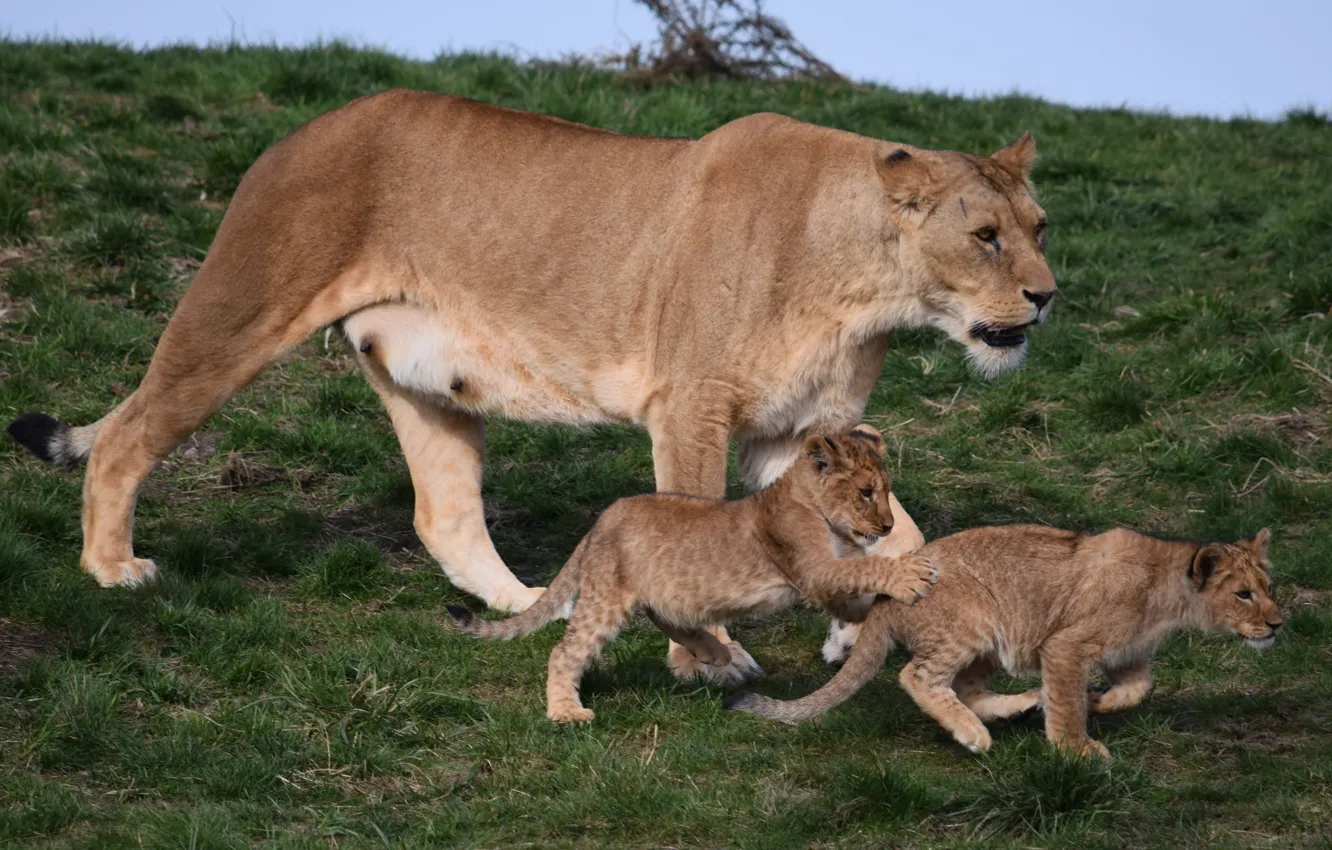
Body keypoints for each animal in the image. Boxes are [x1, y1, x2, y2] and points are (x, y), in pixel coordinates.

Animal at [6, 90, 1054, 681]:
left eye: (1040, 226)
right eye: (986, 236)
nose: (1046, 298)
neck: (864, 289)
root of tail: (302, 128)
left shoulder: (804, 433)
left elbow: (902, 532)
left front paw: (860, 624)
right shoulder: (692, 405)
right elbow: (688, 528)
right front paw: (702, 662)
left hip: (425, 380)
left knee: (445, 516)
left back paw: (527, 601)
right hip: (240, 308)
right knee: (131, 431)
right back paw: (112, 569)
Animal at [448, 425, 937, 722]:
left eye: (886, 492)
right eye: (866, 492)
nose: (887, 526)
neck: (815, 506)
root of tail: (601, 520)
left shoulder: (825, 579)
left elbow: (855, 596)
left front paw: (865, 621)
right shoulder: (813, 570)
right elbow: (867, 566)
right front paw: (910, 575)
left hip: (662, 590)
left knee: (663, 617)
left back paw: (714, 653)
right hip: (606, 596)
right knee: (566, 650)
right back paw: (567, 712)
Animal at [726, 525, 1282, 758]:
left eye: (1269, 587)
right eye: (1244, 594)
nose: (1278, 624)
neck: (1170, 595)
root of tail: (886, 594)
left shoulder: (1128, 656)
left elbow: (1137, 689)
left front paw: (1097, 702)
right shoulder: (1066, 646)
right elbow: (1070, 708)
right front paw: (1079, 750)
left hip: (990, 645)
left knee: (967, 689)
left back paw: (1022, 704)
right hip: (971, 621)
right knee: (918, 676)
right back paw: (974, 734)